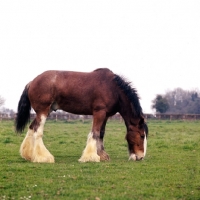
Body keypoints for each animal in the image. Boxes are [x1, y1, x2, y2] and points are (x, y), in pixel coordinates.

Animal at [15, 68, 148, 162]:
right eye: (142, 136)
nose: (140, 157)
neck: (113, 89)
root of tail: (32, 82)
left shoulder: (105, 115)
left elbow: (101, 133)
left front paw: (102, 155)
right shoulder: (99, 112)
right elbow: (95, 133)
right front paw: (91, 157)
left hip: (44, 111)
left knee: (32, 128)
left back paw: (29, 155)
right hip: (42, 111)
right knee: (38, 131)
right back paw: (43, 157)